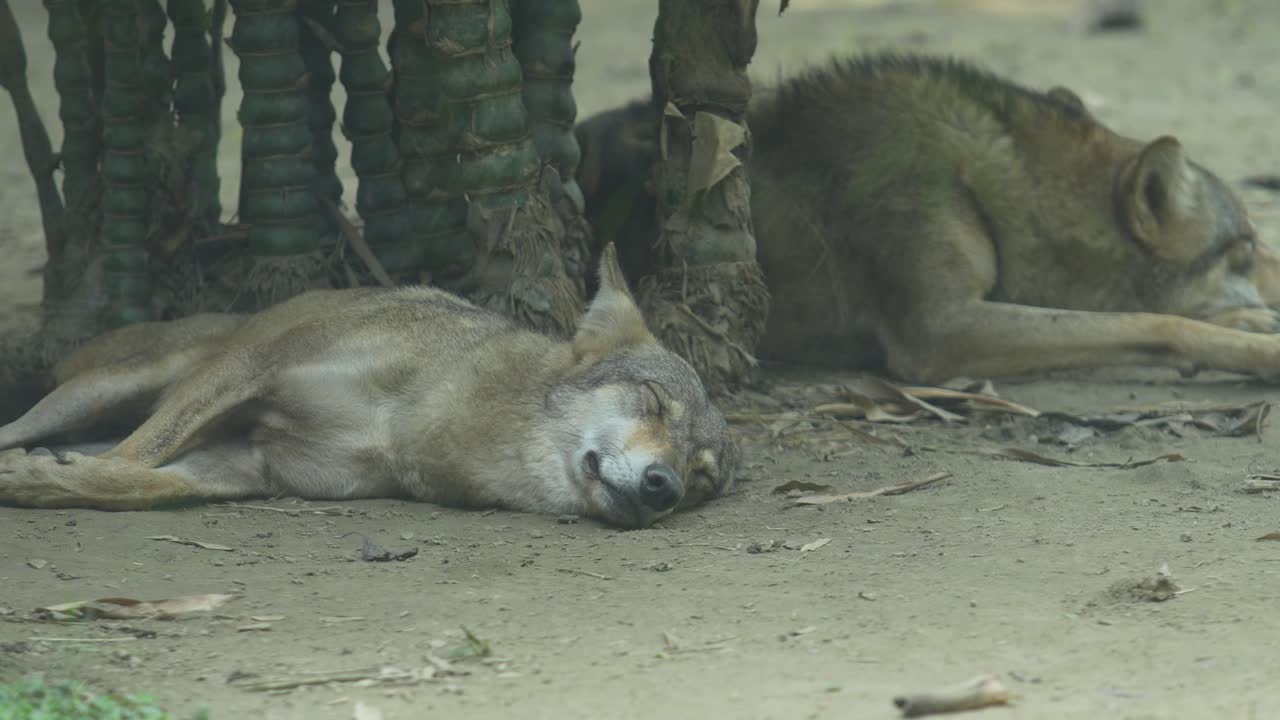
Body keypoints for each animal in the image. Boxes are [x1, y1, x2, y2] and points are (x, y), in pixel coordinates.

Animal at [0, 246, 736, 529]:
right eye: (653, 405)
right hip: (104, 389)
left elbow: (138, 482)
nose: (664, 488)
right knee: (30, 426)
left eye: (701, 479)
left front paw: (44, 482)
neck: (416, 418)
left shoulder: (248, 466)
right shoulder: (250, 371)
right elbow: (134, 459)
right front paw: (33, 478)